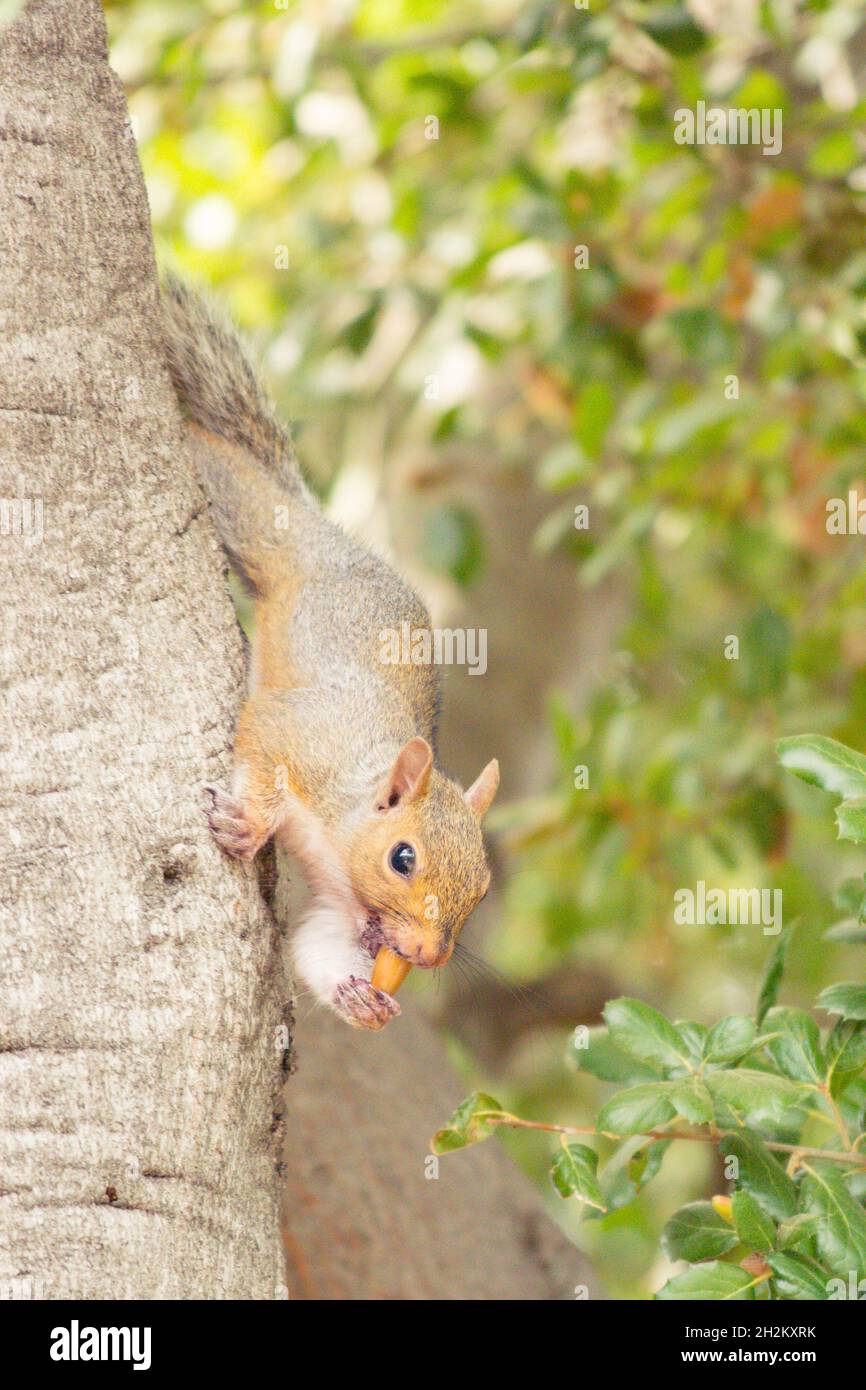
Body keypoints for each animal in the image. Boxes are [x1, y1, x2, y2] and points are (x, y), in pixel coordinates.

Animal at [161, 273, 497, 1034]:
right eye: (403, 858)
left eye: (485, 885)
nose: (427, 955)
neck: (341, 833)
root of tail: (323, 529)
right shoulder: (301, 736)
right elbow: (260, 744)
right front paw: (247, 823)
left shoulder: (341, 906)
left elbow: (318, 940)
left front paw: (360, 996)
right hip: (255, 520)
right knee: (217, 460)